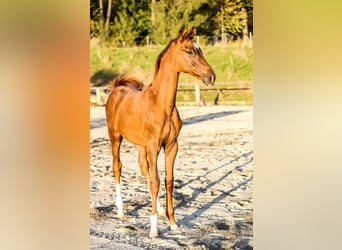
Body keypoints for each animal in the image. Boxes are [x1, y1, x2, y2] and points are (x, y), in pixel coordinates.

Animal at [105, 26, 215, 237]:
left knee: (143, 167)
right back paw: (121, 210)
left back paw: (160, 209)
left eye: (201, 50)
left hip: (141, 145)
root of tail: (116, 88)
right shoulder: (154, 146)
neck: (162, 105)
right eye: (190, 51)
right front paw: (154, 229)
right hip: (115, 138)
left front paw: (172, 223)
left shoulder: (171, 146)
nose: (211, 77)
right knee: (117, 167)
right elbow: (156, 181)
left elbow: (168, 181)